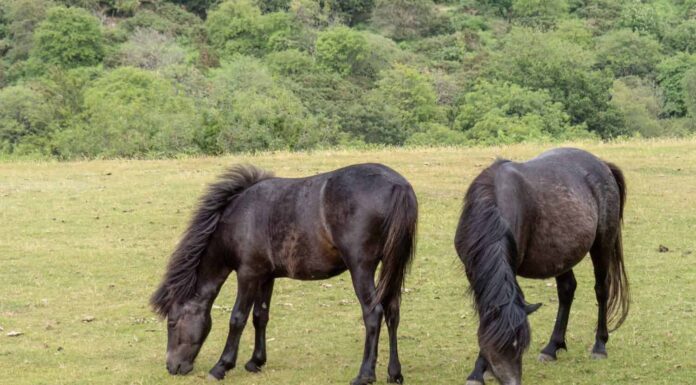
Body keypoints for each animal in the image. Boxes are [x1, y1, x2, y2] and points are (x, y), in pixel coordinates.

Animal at [150, 163, 416, 384]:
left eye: (172, 322)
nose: (172, 367)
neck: (239, 219)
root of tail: (398, 185)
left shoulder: (247, 274)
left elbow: (238, 318)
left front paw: (222, 366)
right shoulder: (265, 276)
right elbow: (260, 316)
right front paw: (255, 362)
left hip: (361, 269)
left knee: (373, 313)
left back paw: (364, 375)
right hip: (391, 267)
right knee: (392, 312)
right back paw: (394, 373)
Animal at [456, 148, 632, 384]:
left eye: (520, 345)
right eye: (497, 346)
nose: (513, 382)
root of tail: (603, 165)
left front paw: (478, 370)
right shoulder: (473, 270)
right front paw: (478, 371)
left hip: (602, 245)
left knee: (602, 291)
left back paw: (599, 345)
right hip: (562, 254)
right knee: (567, 290)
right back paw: (552, 347)